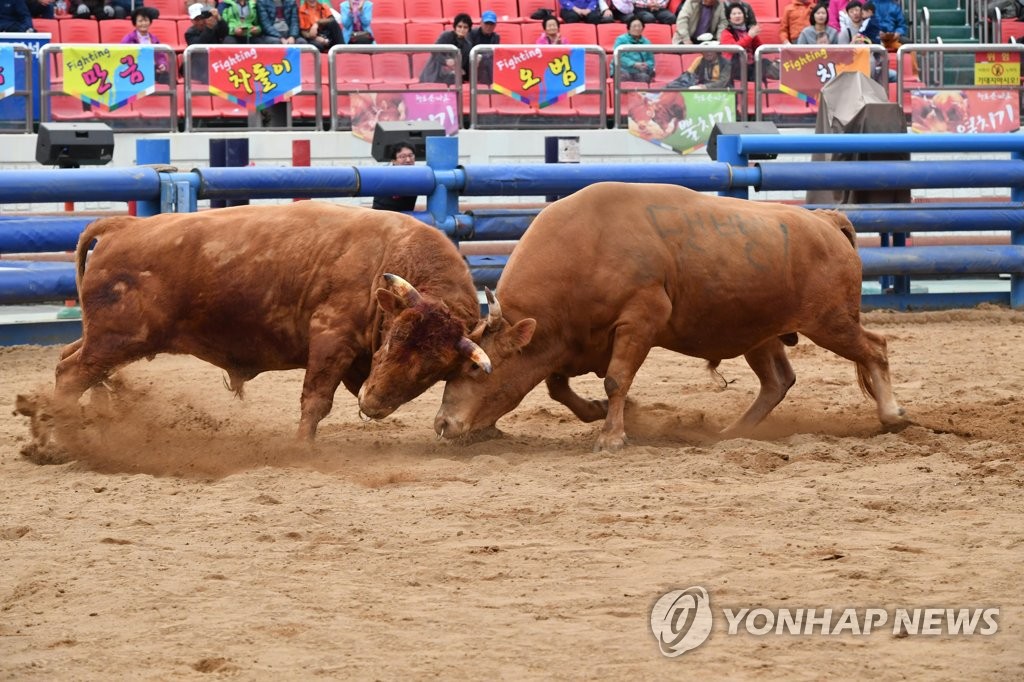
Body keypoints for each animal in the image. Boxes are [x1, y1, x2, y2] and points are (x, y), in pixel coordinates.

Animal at [49, 199, 489, 438]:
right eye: (394, 340)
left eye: (431, 371)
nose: (374, 404)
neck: (389, 255)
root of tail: (121, 225)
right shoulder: (332, 337)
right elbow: (316, 400)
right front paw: (302, 447)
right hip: (117, 338)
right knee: (71, 374)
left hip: (105, 338)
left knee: (69, 359)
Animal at [432, 180, 905, 448]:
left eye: (475, 370)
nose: (441, 424)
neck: (588, 245)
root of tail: (826, 221)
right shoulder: (570, 341)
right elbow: (557, 387)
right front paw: (600, 412)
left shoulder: (640, 321)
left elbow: (615, 378)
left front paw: (612, 434)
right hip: (760, 333)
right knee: (777, 382)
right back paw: (733, 433)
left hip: (830, 323)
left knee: (874, 348)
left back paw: (892, 415)